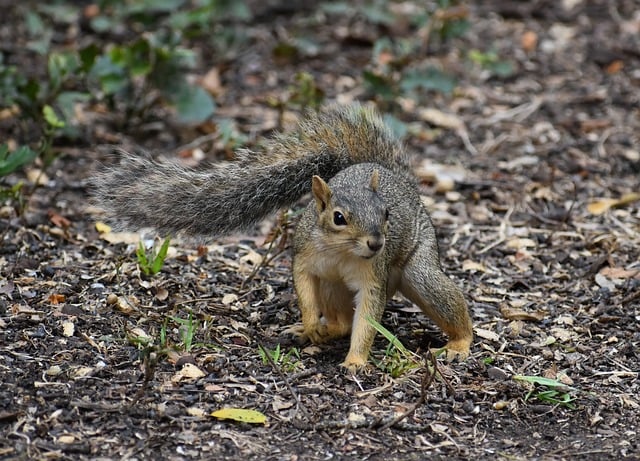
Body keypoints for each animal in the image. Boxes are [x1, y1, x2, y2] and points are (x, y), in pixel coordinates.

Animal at [95, 105, 476, 370]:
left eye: (386, 214)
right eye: (338, 218)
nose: (376, 243)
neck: (340, 251)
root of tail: (395, 177)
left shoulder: (374, 277)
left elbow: (367, 319)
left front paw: (355, 361)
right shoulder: (305, 256)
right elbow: (304, 288)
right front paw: (309, 323)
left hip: (417, 267)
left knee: (439, 297)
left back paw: (460, 344)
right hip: (333, 286)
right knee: (339, 320)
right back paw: (312, 331)